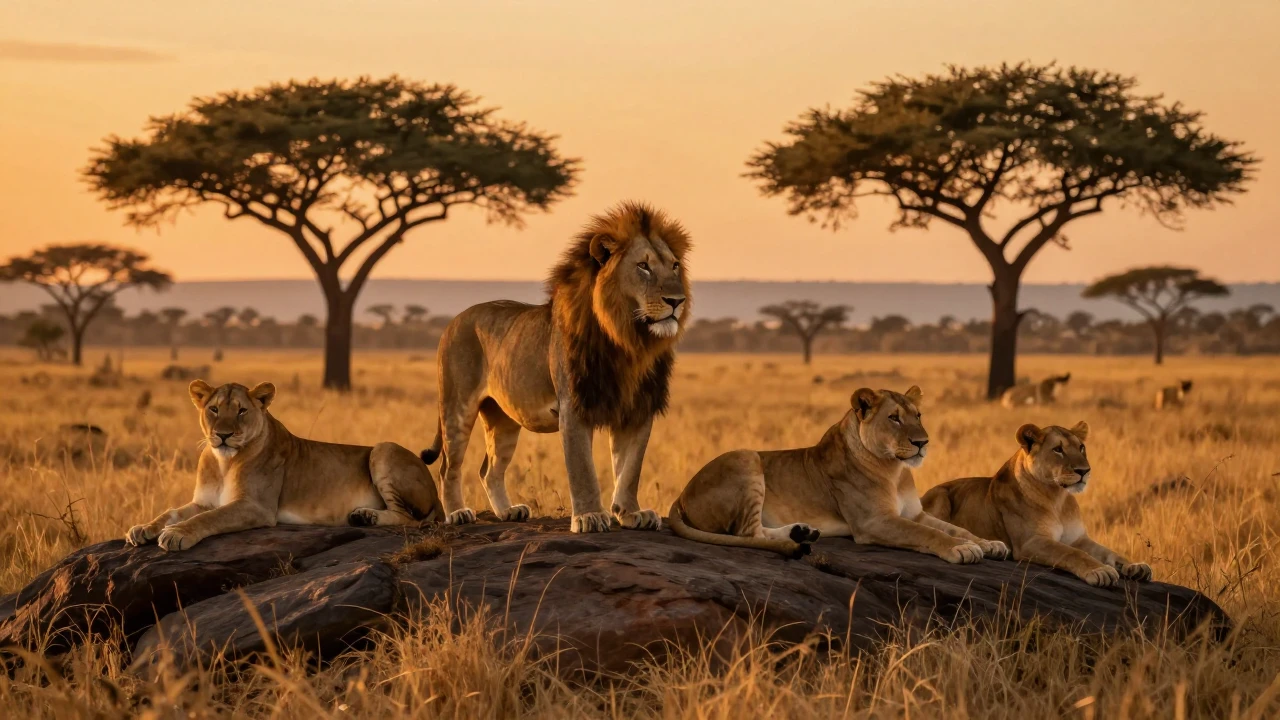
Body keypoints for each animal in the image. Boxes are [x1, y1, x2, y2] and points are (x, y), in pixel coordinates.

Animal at [126, 380, 442, 552]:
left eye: (241, 411)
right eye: (213, 409)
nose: (224, 435)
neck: (224, 461)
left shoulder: (257, 507)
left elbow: (208, 519)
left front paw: (176, 534)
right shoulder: (203, 501)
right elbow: (172, 512)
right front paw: (143, 528)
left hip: (383, 448)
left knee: (411, 519)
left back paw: (370, 517)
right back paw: (363, 516)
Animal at [421, 202, 691, 533]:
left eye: (675, 265)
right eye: (643, 266)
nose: (677, 301)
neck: (629, 342)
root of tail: (454, 320)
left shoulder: (637, 407)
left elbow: (630, 469)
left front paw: (630, 513)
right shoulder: (574, 405)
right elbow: (582, 468)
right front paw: (589, 516)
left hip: (504, 419)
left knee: (489, 470)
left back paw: (508, 511)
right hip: (457, 407)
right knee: (449, 467)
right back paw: (457, 513)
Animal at [667, 386, 1010, 561]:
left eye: (919, 415)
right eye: (894, 418)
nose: (923, 443)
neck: (895, 470)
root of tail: (681, 495)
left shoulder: (915, 513)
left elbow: (955, 527)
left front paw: (989, 543)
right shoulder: (874, 522)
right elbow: (928, 534)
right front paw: (960, 549)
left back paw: (802, 532)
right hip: (746, 455)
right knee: (747, 533)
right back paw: (798, 537)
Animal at [921, 422, 1152, 587]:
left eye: (1082, 447)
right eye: (1058, 449)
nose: (1085, 471)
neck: (1058, 498)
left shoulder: (1078, 538)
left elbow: (1108, 552)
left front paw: (1135, 567)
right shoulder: (1031, 542)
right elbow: (1071, 553)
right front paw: (1100, 571)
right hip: (940, 495)